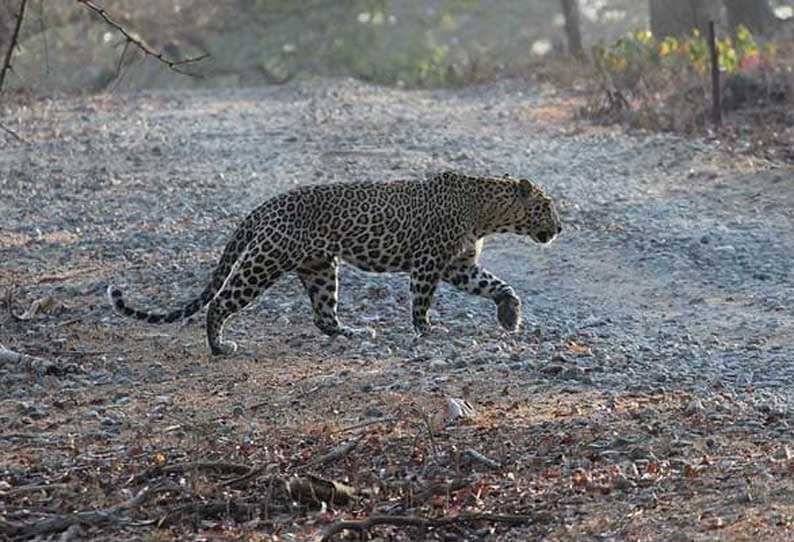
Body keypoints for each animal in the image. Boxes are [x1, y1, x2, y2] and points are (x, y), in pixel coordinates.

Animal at [107, 171, 562, 356]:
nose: (559, 228)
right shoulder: (429, 263)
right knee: (220, 301)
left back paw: (353, 333)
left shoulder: (459, 265)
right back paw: (220, 347)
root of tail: (267, 204)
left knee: (323, 316)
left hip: (320, 268)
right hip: (265, 260)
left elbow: (496, 284)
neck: (487, 212)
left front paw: (509, 315)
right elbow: (421, 301)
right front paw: (427, 330)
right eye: (546, 207)